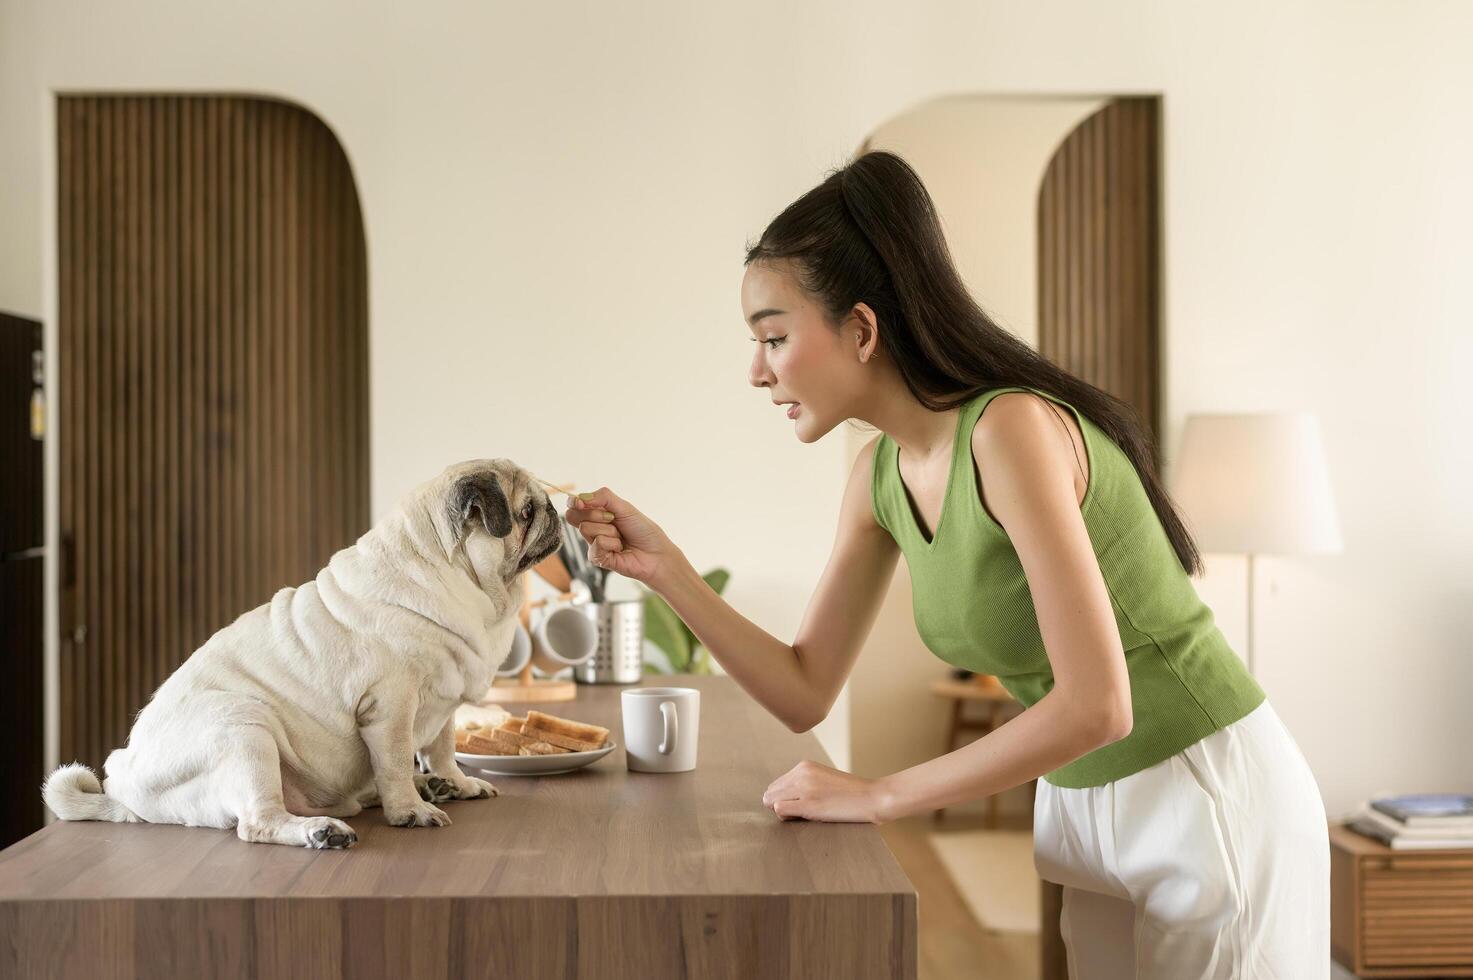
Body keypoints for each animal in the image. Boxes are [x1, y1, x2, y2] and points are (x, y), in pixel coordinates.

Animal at [41, 459, 562, 848]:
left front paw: (456, 780)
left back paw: (429, 786)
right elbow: (396, 761)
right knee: (259, 821)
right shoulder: (391, 706)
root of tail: (124, 791)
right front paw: (409, 811)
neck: (449, 574)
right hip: (244, 729)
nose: (557, 511)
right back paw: (323, 831)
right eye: (527, 511)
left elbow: (442, 748)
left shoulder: (443, 702)